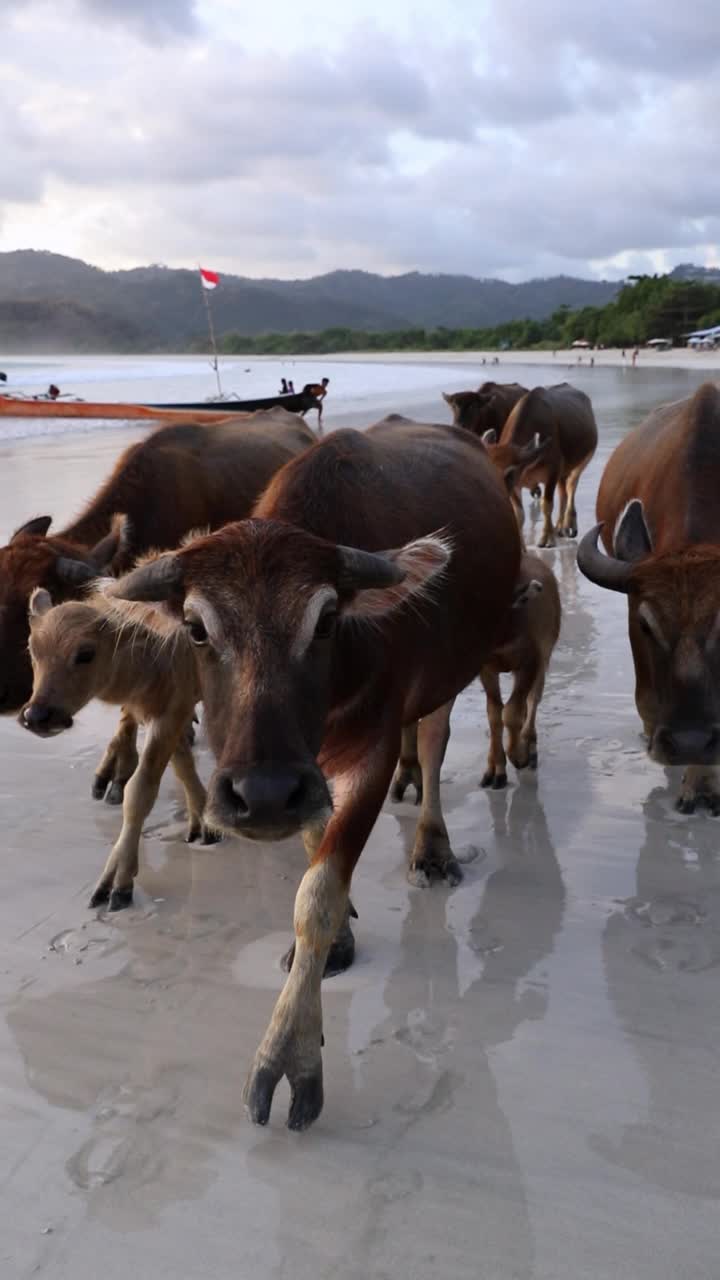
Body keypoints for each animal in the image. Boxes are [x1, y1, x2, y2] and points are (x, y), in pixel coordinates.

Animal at [106, 419, 517, 1131]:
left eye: (325, 621)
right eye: (196, 628)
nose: (263, 794)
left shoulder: (371, 756)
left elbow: (315, 895)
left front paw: (287, 1054)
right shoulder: (310, 779)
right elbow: (312, 849)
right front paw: (338, 939)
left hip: (449, 675)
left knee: (432, 742)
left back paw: (433, 847)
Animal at [479, 381, 597, 547]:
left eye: (510, 473)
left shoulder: (552, 474)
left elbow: (546, 505)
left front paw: (546, 539)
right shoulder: (517, 485)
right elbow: (519, 514)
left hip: (581, 463)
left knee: (570, 488)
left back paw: (568, 525)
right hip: (563, 472)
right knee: (563, 493)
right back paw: (558, 527)